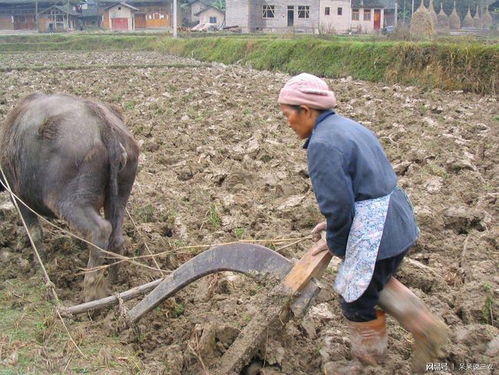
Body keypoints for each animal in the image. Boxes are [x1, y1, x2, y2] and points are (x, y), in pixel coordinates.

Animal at [0, 94, 141, 302]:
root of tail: (104, 126)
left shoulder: (18, 197)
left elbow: (34, 233)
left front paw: (40, 266)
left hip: (69, 201)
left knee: (100, 231)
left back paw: (91, 290)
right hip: (119, 197)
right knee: (116, 238)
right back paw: (112, 283)